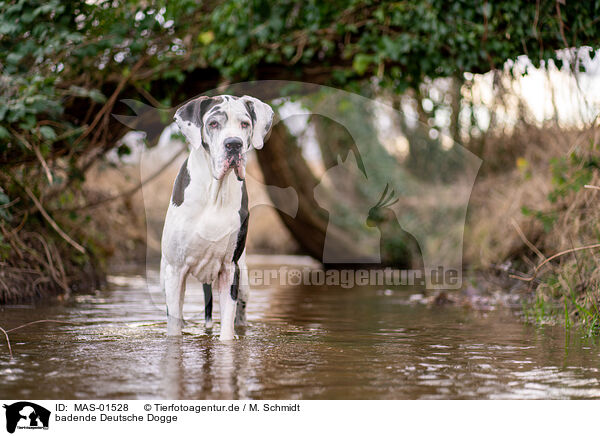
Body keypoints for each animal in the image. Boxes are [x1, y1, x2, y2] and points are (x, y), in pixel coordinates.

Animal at [159, 95, 272, 340]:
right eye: (213, 124)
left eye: (244, 124)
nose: (234, 144)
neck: (215, 193)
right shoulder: (175, 272)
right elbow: (174, 326)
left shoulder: (230, 269)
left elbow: (227, 328)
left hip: (244, 281)